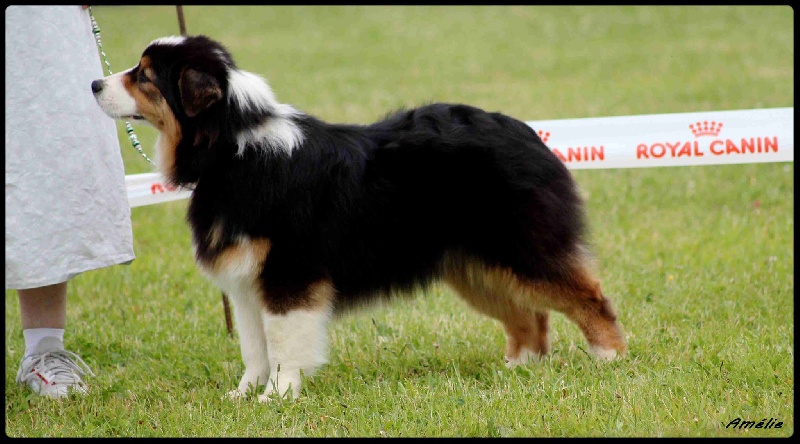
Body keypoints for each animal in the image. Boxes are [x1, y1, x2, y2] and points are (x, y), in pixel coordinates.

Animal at [92, 35, 624, 402]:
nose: (95, 83)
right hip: (475, 265)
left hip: (523, 246)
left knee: (588, 297)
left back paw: (609, 358)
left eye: (144, 76)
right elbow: (253, 346)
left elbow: (282, 342)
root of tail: (531, 135)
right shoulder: (245, 285)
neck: (231, 147)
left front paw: (278, 397)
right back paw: (519, 368)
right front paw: (244, 396)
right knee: (528, 315)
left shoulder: (288, 273)